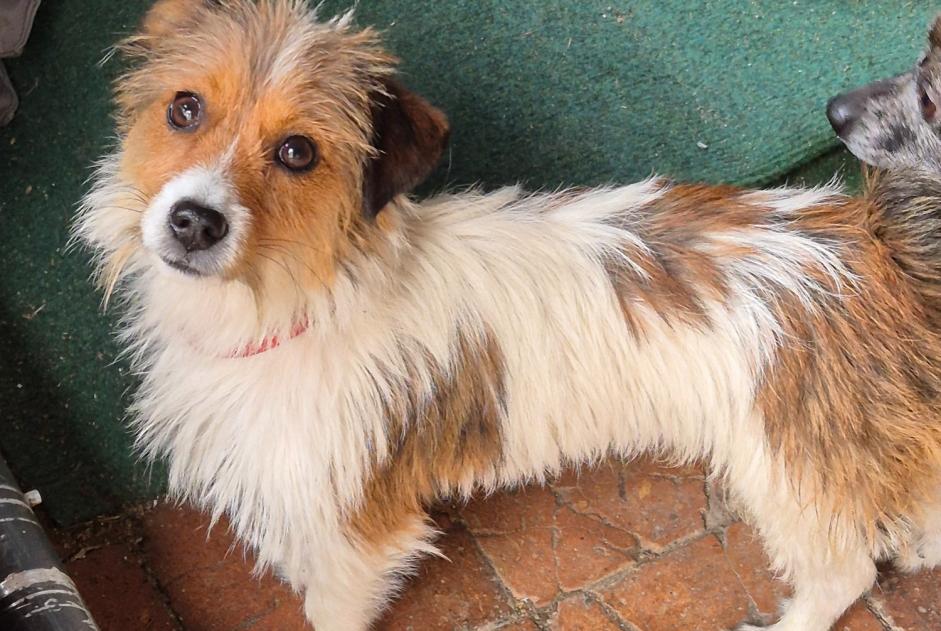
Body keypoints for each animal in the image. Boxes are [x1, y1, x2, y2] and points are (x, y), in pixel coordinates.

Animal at [77, 1, 940, 631]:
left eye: (298, 152)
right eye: (184, 109)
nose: (193, 221)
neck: (298, 297)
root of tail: (871, 238)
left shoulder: (359, 527)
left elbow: (331, 602)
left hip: (786, 463)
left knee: (842, 571)